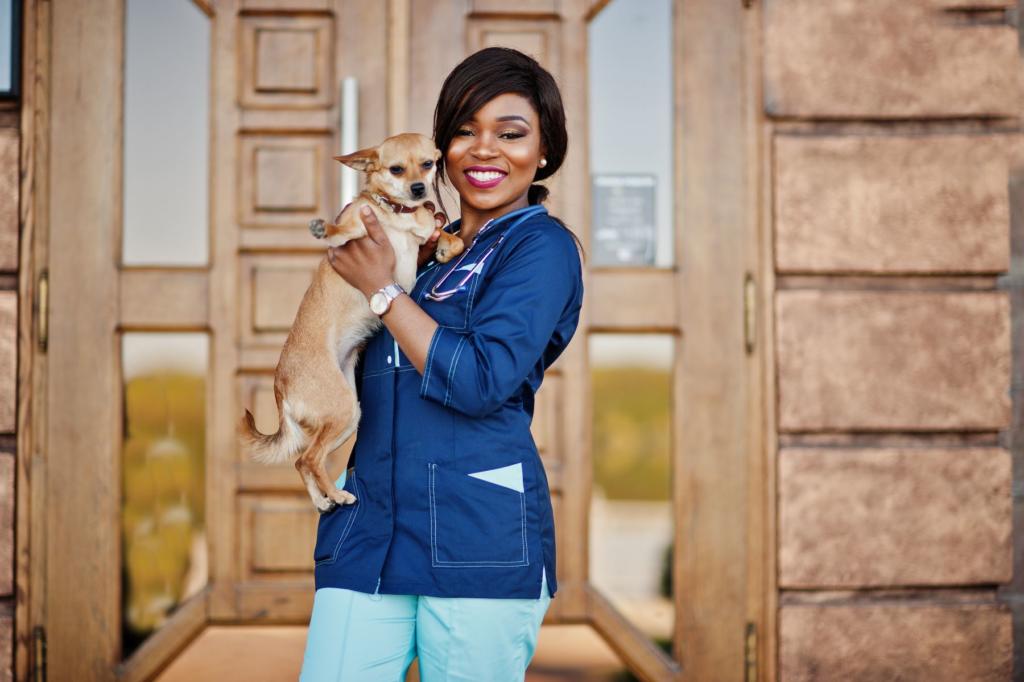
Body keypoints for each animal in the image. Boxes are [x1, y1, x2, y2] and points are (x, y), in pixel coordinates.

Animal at [239, 133, 464, 509]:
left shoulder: (423, 231)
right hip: (343, 411)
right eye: (396, 169)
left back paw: (322, 500)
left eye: (428, 164)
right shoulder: (355, 228)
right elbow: (339, 231)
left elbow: (447, 234)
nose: (419, 189)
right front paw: (324, 228)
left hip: (348, 415)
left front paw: (446, 245)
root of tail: (280, 385)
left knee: (303, 461)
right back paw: (337, 495)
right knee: (310, 458)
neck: (397, 214)